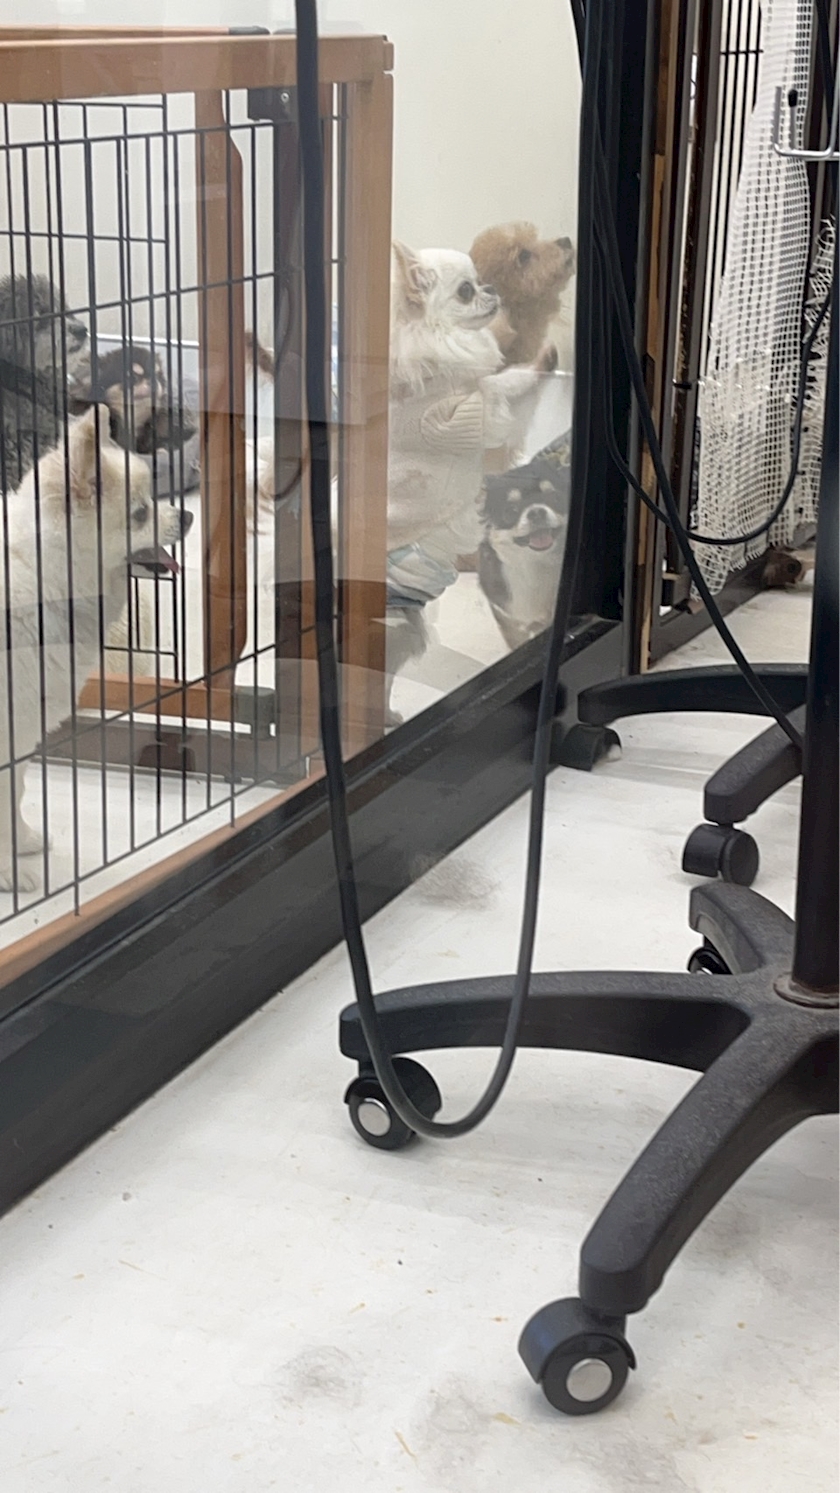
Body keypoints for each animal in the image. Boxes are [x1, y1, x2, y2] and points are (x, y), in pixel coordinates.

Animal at [0, 404, 192, 893]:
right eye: (140, 513)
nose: (187, 516)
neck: (45, 580)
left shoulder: (24, 727)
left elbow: (16, 791)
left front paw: (22, 841)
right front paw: (8, 872)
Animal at [385, 241, 556, 719]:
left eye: (480, 279)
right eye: (465, 290)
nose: (491, 288)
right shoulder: (464, 419)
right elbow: (499, 386)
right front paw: (537, 364)